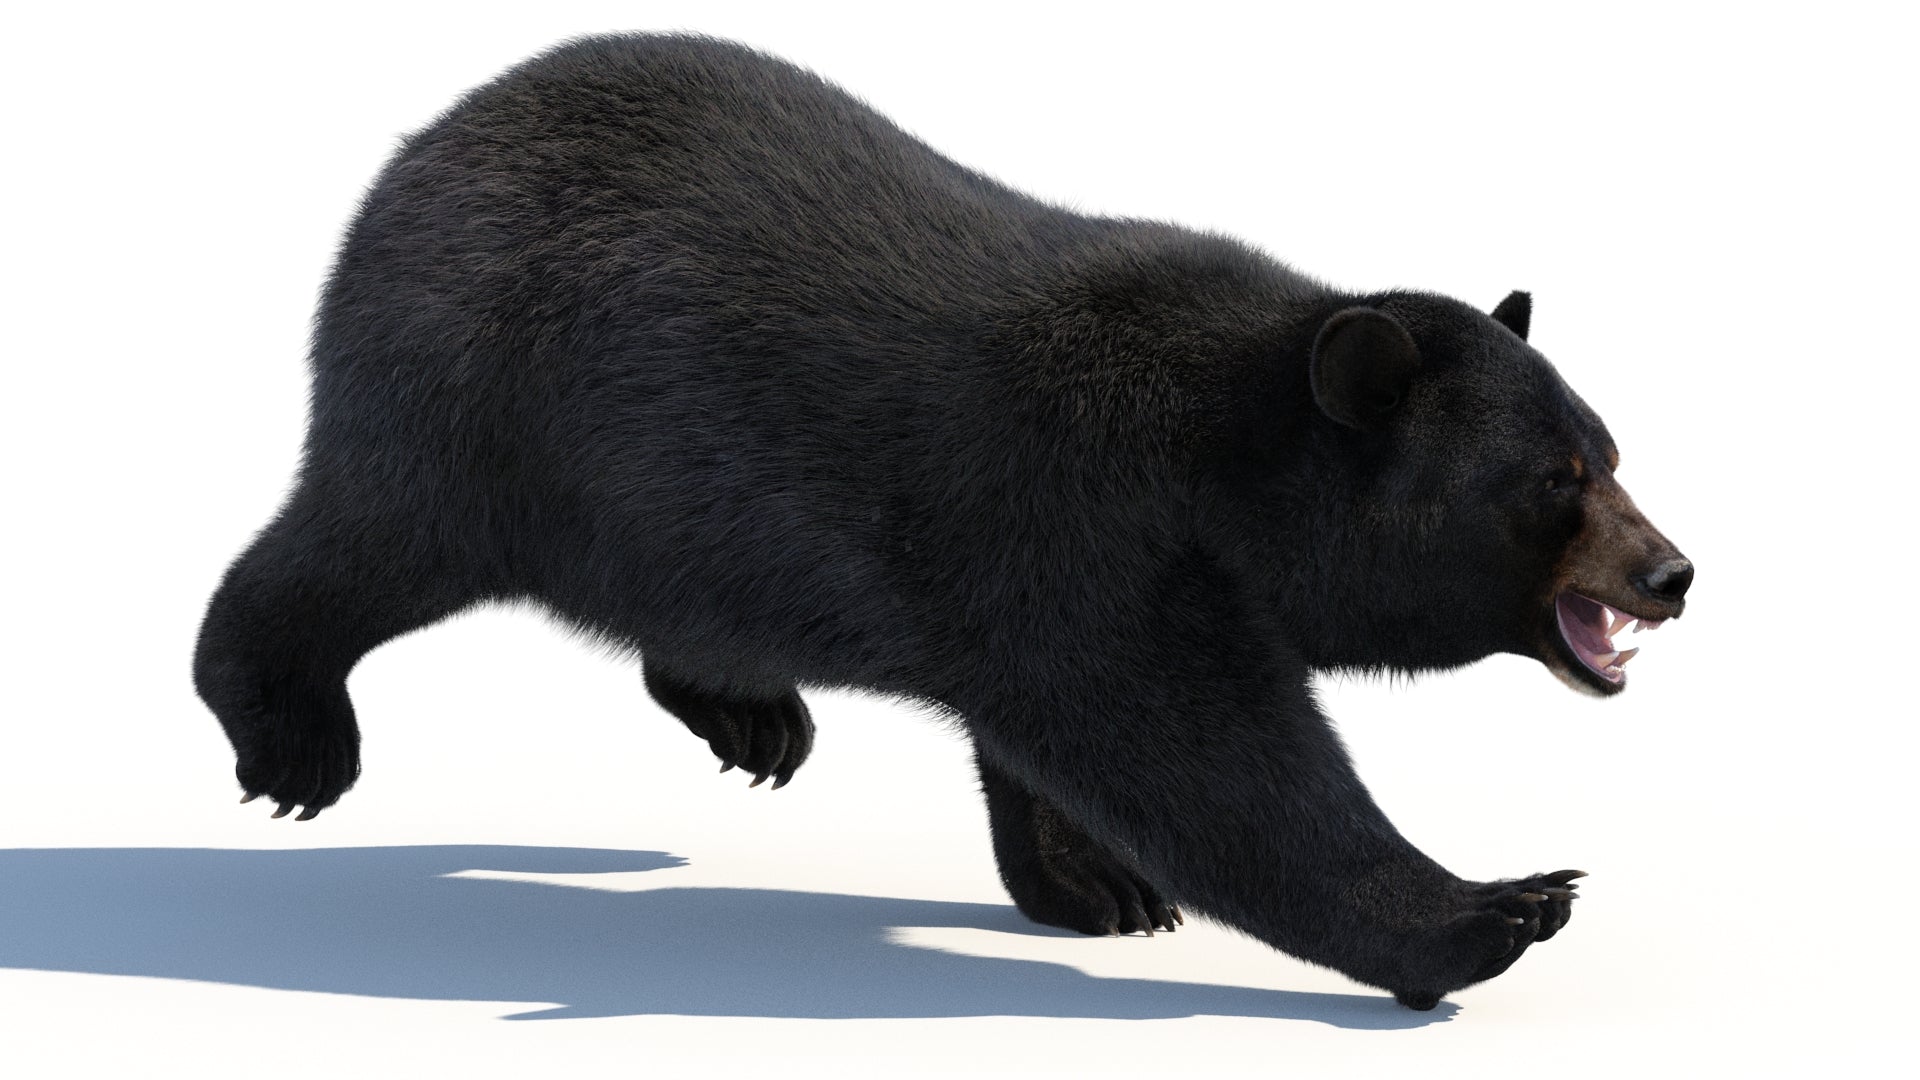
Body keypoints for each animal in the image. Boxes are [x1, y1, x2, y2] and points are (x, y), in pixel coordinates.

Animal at [193, 33, 1692, 1010]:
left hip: (665, 508)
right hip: (476, 414)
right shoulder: (1074, 519)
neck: (1226, 458)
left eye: (1614, 450)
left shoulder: (1057, 564)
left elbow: (1068, 738)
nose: (1675, 570)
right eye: (1555, 480)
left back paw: (751, 713)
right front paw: (1496, 906)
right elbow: (1205, 755)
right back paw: (291, 736)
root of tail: (417, 155)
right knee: (351, 550)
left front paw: (1098, 888)